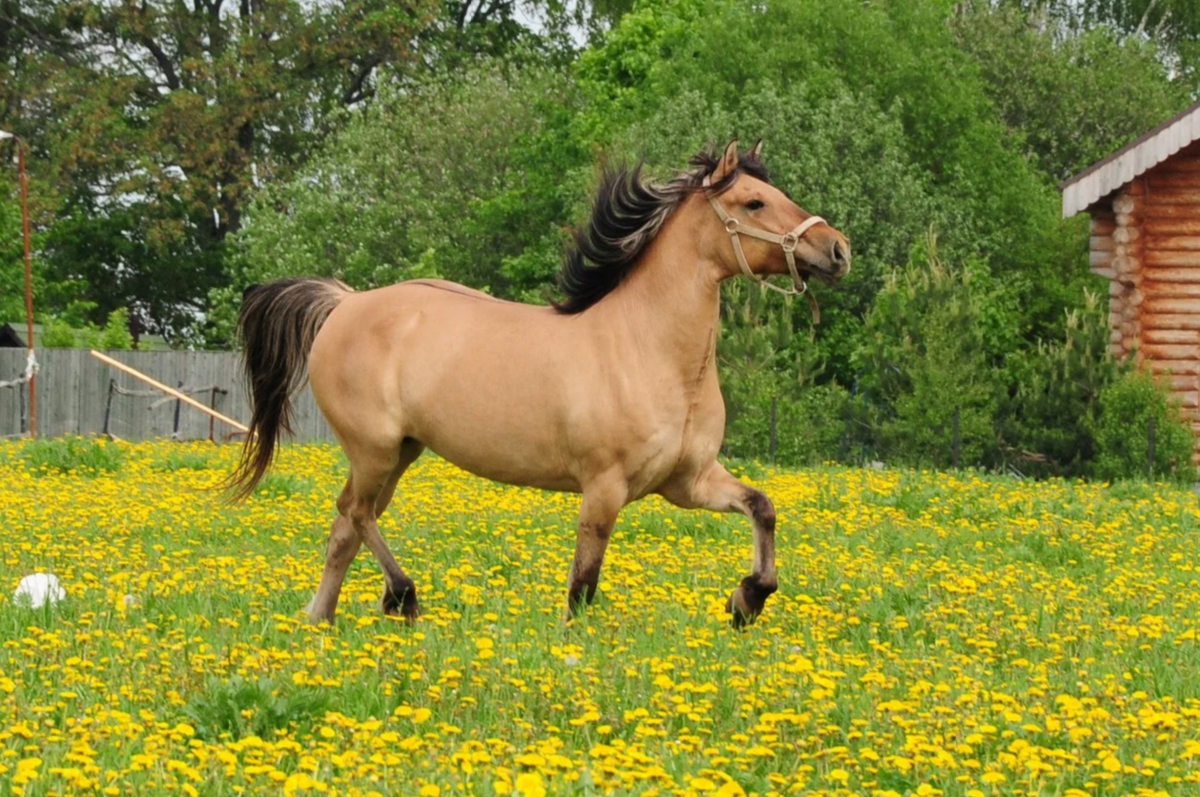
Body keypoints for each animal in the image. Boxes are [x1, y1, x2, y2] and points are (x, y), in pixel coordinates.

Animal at [231, 141, 854, 628]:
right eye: (754, 202)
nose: (838, 249)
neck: (648, 350)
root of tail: (345, 303)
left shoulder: (689, 482)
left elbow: (762, 507)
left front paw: (747, 600)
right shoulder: (604, 489)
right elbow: (583, 586)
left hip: (399, 454)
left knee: (347, 528)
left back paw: (321, 621)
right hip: (374, 449)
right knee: (356, 514)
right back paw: (402, 598)